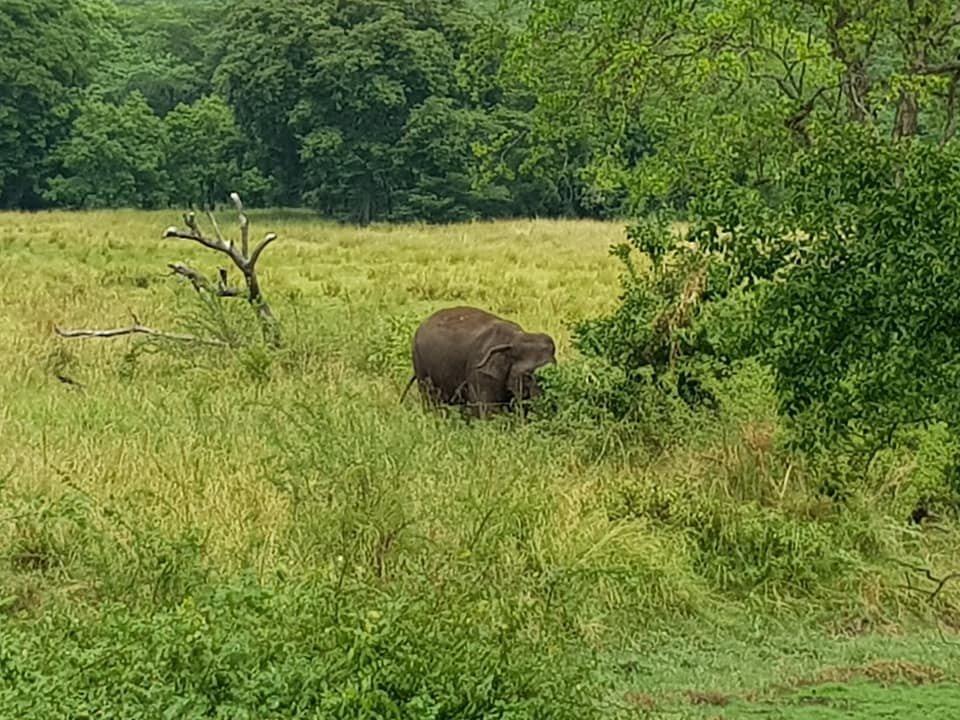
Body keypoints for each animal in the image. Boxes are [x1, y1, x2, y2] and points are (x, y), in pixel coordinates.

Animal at [404, 306, 556, 416]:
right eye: (527, 376)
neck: (516, 338)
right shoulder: (480, 372)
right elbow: (486, 410)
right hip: (419, 362)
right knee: (429, 396)